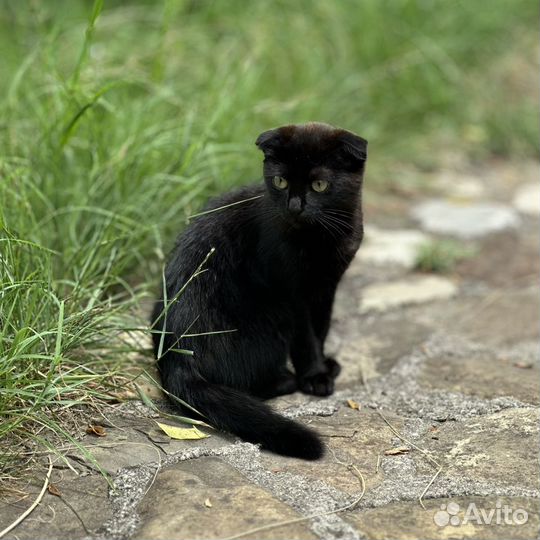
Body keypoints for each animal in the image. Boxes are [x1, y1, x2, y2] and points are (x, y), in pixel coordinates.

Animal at [152, 123, 368, 460]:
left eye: (319, 185)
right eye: (280, 181)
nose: (294, 207)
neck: (321, 240)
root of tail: (177, 358)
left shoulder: (326, 287)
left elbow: (321, 329)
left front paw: (324, 367)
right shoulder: (294, 294)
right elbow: (306, 338)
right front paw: (314, 377)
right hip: (275, 314)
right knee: (243, 384)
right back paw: (286, 380)